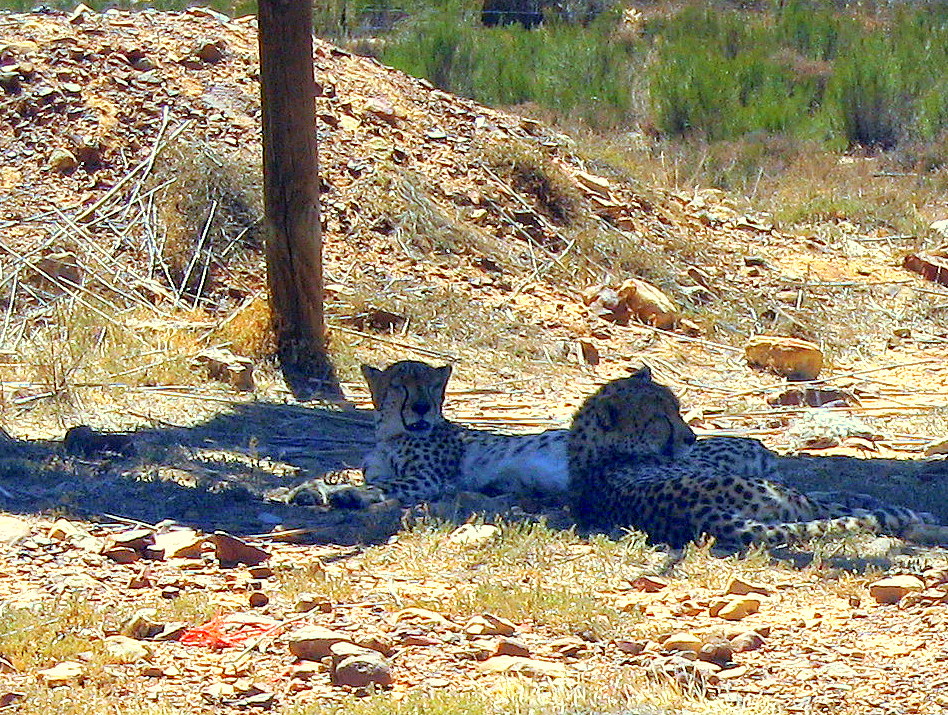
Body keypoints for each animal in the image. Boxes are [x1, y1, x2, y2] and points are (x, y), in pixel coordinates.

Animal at [564, 366, 932, 552]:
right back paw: (915, 515)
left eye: (677, 409)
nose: (691, 438)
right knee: (838, 511)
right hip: (781, 498)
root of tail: (699, 515)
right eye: (660, 419)